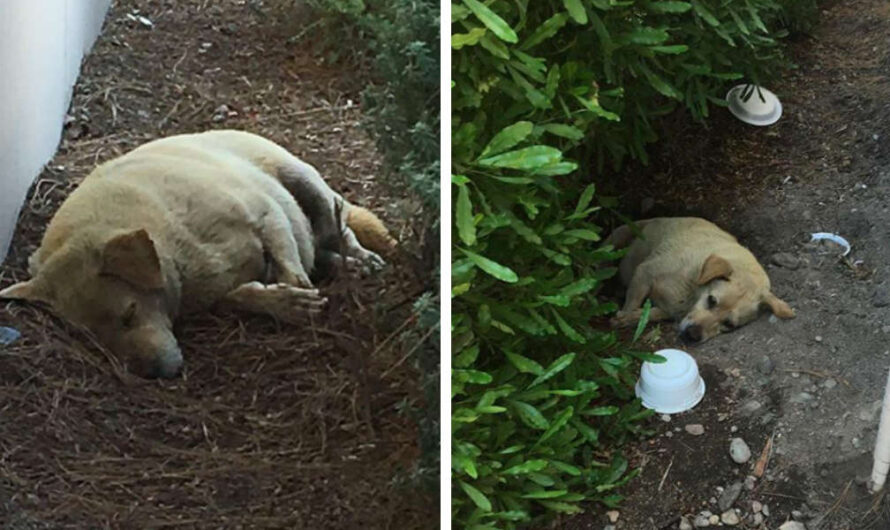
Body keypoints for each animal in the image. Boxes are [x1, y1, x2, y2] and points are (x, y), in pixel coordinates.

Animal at [0, 129, 396, 376]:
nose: (153, 373)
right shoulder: (219, 288)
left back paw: (361, 259)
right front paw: (283, 302)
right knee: (322, 250)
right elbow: (244, 295)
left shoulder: (266, 214)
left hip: (306, 183)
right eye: (95, 339)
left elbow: (288, 261)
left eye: (129, 313)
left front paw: (297, 295)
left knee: (338, 228)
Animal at [604, 216, 792, 342]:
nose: (692, 335)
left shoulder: (667, 310)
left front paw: (629, 318)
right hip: (618, 236)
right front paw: (623, 318)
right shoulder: (644, 274)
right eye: (712, 300)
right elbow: (632, 303)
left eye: (728, 325)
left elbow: (648, 314)